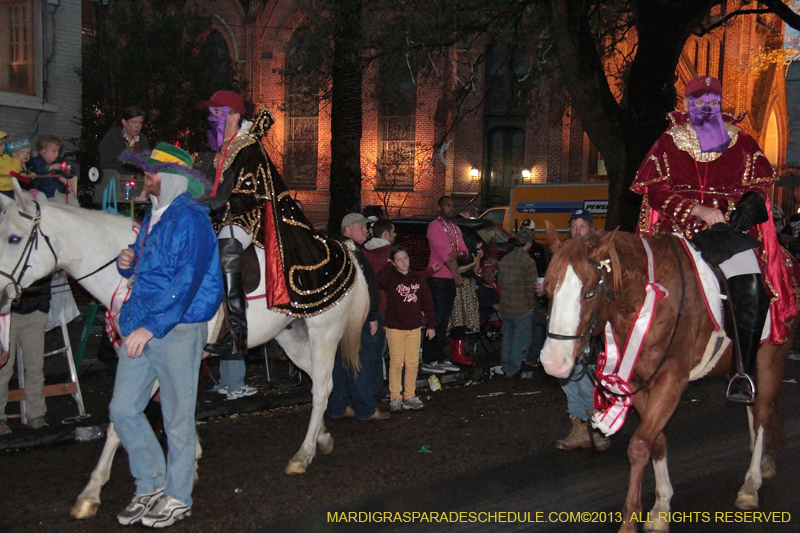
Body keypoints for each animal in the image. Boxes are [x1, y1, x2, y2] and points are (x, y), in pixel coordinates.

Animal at [0, 184, 368, 520]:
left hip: (323, 333)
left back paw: (302, 455)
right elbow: (168, 409)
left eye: (14, 239)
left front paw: (91, 493)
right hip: (291, 338)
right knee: (320, 383)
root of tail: (343, 249)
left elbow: (124, 422)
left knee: (322, 389)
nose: (2, 295)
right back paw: (321, 438)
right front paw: (191, 459)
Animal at [540, 230, 796, 532]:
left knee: (763, 414)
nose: (553, 362)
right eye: (547, 292)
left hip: (770, 358)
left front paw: (631, 520)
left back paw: (750, 484)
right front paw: (661, 507)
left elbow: (639, 446)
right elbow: (656, 441)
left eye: (589, 292)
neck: (648, 299)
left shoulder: (671, 380)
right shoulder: (637, 383)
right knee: (752, 409)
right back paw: (762, 461)